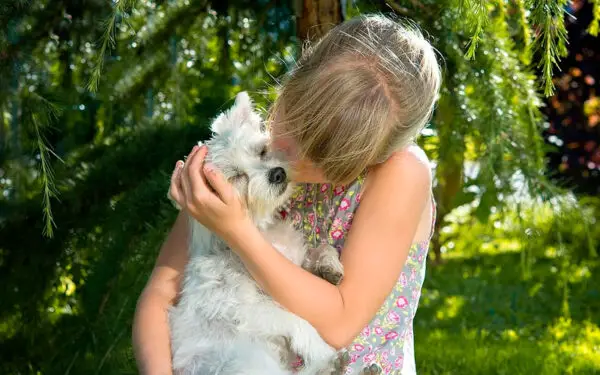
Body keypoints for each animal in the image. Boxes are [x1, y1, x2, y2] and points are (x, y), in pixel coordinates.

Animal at [169, 92, 344, 375]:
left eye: (262, 151)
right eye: (237, 177)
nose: (277, 173)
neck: (263, 233)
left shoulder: (294, 265)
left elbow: (322, 249)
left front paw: (329, 266)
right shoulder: (249, 310)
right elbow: (298, 321)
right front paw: (323, 351)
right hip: (249, 361)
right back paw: (331, 364)